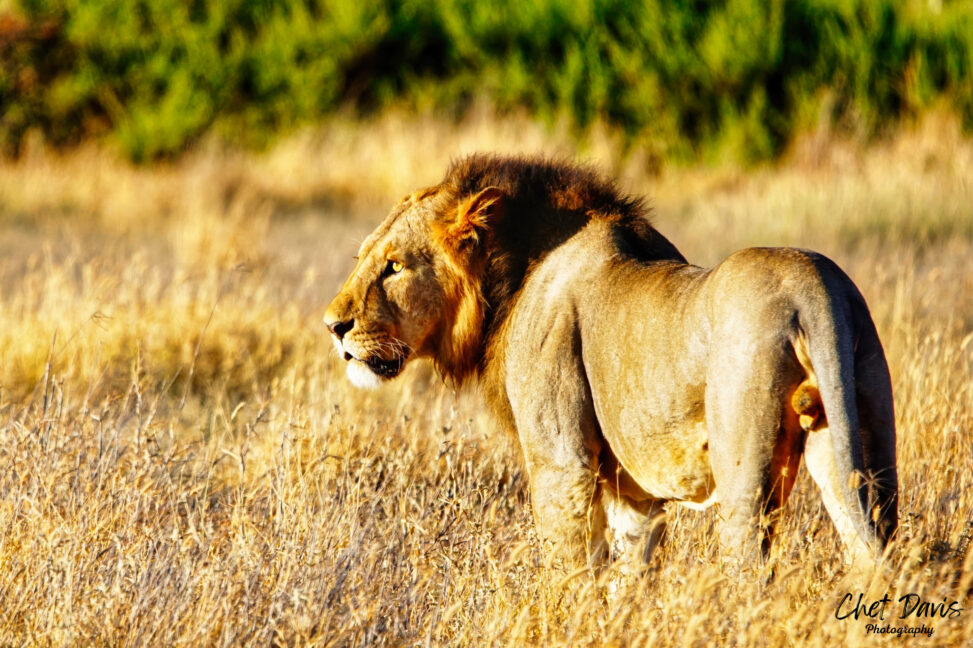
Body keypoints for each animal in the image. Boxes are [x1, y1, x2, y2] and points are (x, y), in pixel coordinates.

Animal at [324, 154, 898, 575]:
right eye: (361, 259)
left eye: (394, 266)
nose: (334, 326)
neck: (510, 281)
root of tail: (813, 288)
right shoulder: (633, 494)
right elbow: (628, 573)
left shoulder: (562, 461)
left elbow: (570, 570)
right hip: (861, 444)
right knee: (874, 550)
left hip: (746, 471)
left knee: (749, 571)